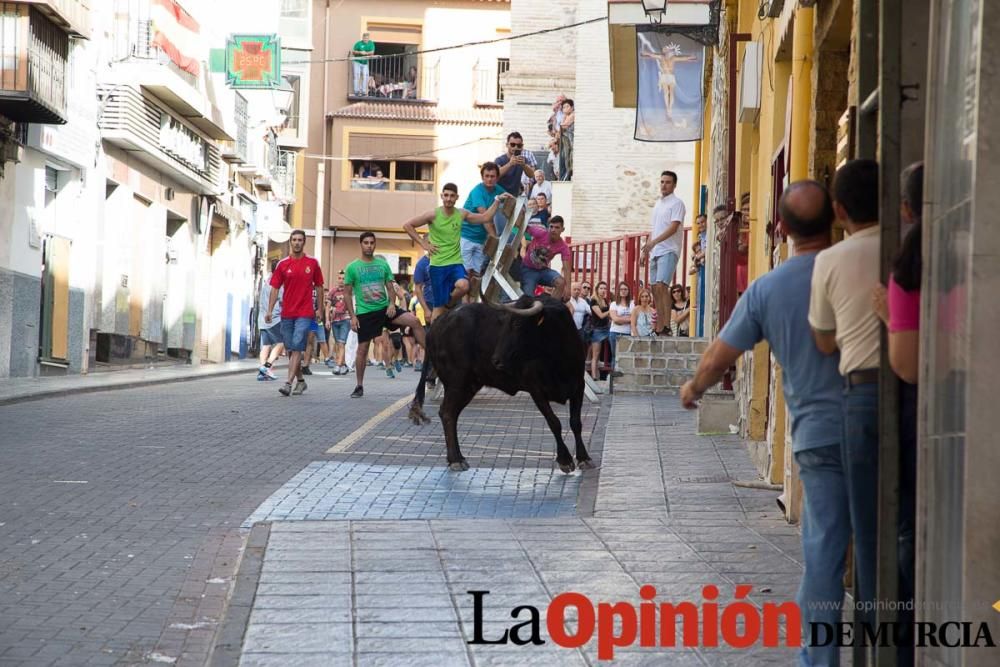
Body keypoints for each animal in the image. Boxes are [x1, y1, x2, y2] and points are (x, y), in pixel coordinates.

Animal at [406, 294, 592, 472]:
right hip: (456, 383)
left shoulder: (578, 386)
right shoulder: (536, 389)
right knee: (447, 413)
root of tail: (438, 323)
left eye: (517, 324)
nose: (496, 360)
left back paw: (458, 457)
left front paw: (584, 458)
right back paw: (455, 460)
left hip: (469, 386)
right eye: (504, 324)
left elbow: (576, 422)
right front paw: (565, 460)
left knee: (450, 413)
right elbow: (554, 422)